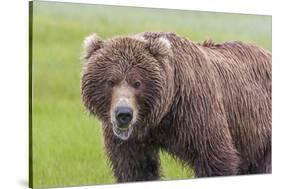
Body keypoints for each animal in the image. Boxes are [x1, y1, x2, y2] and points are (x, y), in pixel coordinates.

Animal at [80, 32, 270, 182]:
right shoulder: (132, 140)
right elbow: (135, 168)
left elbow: (214, 157)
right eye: (110, 81)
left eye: (137, 83)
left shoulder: (195, 110)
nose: (124, 114)